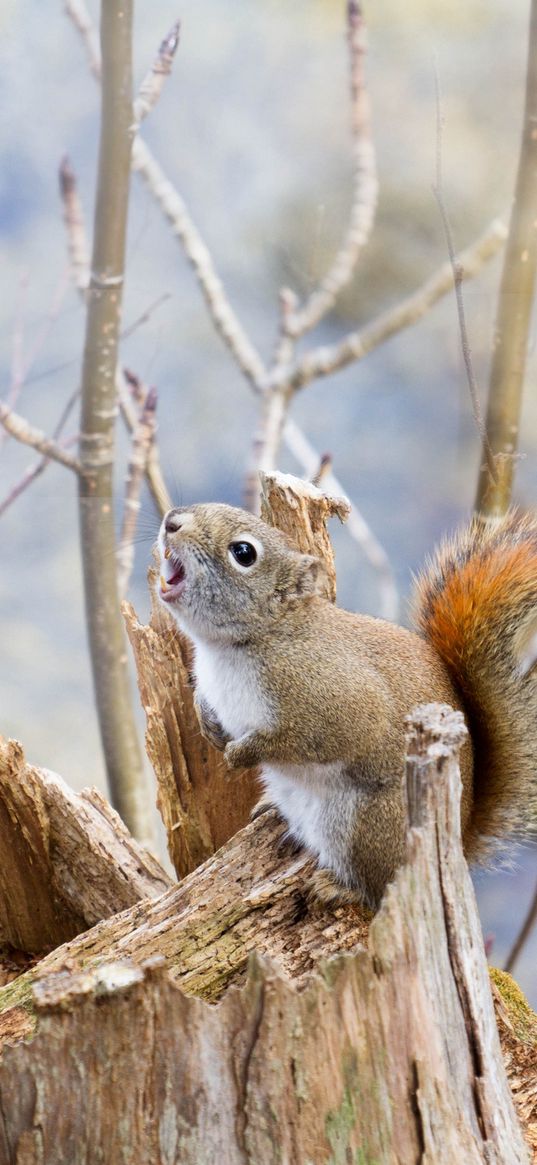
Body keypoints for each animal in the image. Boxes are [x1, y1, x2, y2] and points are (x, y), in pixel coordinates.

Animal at [154, 500, 535, 908]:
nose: (172, 522)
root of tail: (457, 843)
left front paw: (242, 753)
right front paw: (208, 723)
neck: (236, 645)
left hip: (368, 826)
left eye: (243, 553)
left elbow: (309, 739)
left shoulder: (338, 698)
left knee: (381, 889)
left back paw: (340, 888)